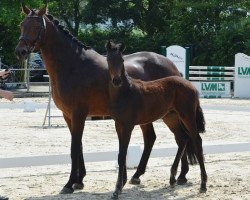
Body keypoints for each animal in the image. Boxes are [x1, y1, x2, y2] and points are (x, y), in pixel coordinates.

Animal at [106, 41, 207, 199]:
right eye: (108, 60)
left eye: (122, 60)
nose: (116, 80)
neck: (126, 92)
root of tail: (189, 84)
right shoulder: (119, 125)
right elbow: (121, 154)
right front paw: (120, 186)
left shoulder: (128, 126)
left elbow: (122, 155)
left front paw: (117, 190)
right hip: (171, 117)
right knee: (183, 138)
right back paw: (173, 178)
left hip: (187, 116)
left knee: (196, 140)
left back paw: (202, 184)